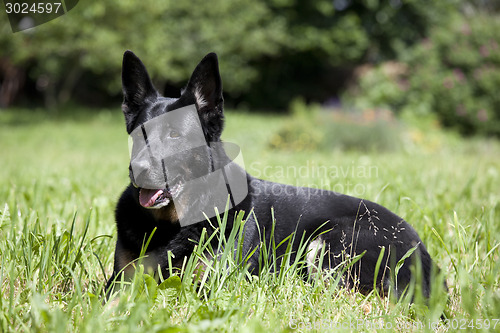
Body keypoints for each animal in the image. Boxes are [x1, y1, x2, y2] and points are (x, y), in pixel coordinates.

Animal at [106, 50, 442, 296]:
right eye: (138, 134)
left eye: (175, 135)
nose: (138, 169)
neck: (170, 224)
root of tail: (423, 251)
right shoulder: (120, 280)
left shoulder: (208, 284)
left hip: (329, 244)